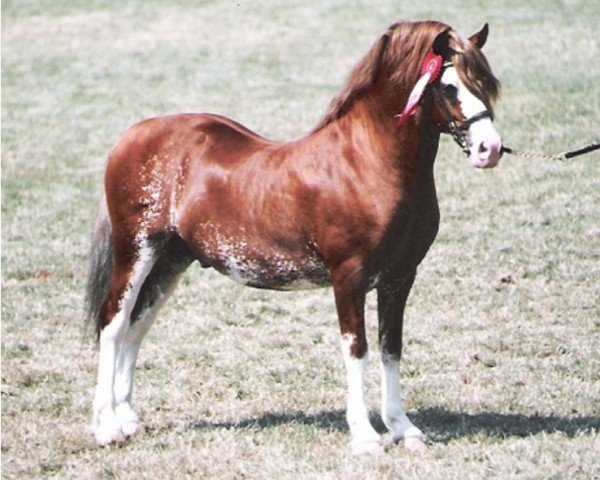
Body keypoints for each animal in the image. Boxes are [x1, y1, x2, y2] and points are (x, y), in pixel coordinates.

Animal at [85, 19, 502, 454]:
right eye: (449, 86)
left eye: (486, 83)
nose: (489, 149)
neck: (365, 163)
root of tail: (133, 135)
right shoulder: (348, 277)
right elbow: (357, 349)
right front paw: (365, 435)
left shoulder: (400, 277)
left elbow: (391, 348)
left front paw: (403, 429)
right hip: (135, 252)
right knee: (113, 323)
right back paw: (107, 427)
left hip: (170, 260)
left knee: (137, 326)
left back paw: (128, 419)